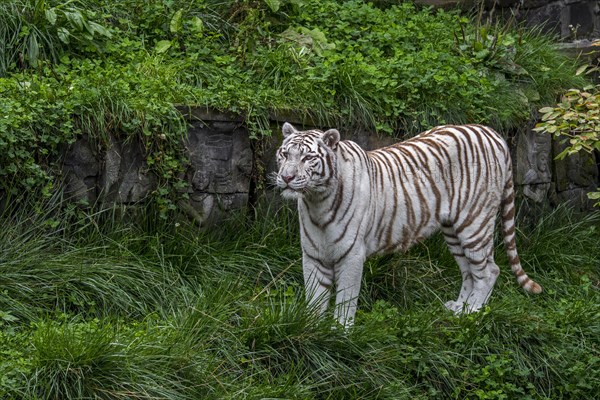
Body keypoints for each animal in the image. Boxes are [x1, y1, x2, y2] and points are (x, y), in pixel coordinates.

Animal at [276, 122, 544, 328]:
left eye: (308, 158)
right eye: (285, 155)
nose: (286, 177)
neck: (316, 201)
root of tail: (492, 133)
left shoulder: (351, 255)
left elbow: (345, 299)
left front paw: (340, 332)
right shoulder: (313, 255)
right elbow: (314, 298)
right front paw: (312, 330)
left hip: (474, 224)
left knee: (489, 271)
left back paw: (472, 312)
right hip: (453, 230)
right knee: (469, 272)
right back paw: (459, 307)